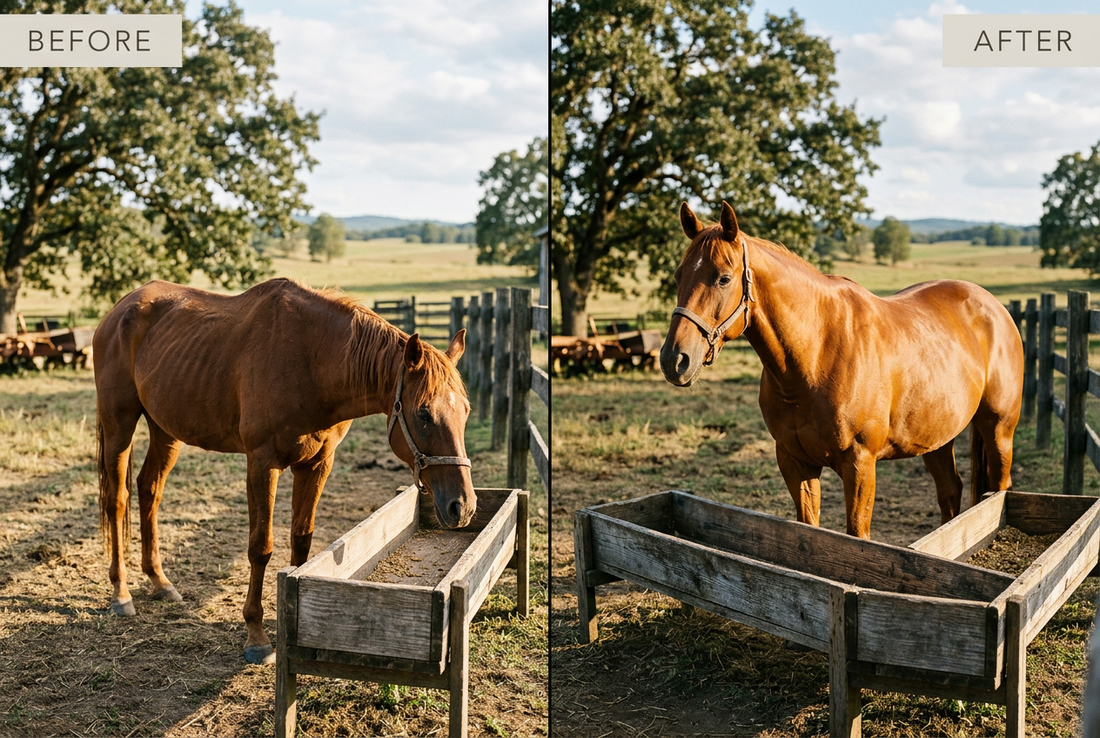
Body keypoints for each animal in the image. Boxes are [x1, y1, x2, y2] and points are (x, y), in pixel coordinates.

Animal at [93, 278, 476, 664]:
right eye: (424, 413)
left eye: (466, 411)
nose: (463, 506)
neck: (313, 360)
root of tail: (121, 309)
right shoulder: (263, 464)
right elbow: (260, 547)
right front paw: (257, 635)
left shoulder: (317, 464)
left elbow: (301, 539)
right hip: (119, 424)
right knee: (117, 499)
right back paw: (121, 594)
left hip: (164, 430)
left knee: (149, 489)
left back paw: (159, 582)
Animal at [660, 201, 1023, 539]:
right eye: (679, 276)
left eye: (723, 278)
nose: (674, 359)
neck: (815, 356)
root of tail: (993, 306)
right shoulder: (795, 461)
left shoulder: (859, 464)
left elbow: (857, 534)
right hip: (936, 439)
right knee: (950, 492)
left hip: (998, 430)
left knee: (998, 488)